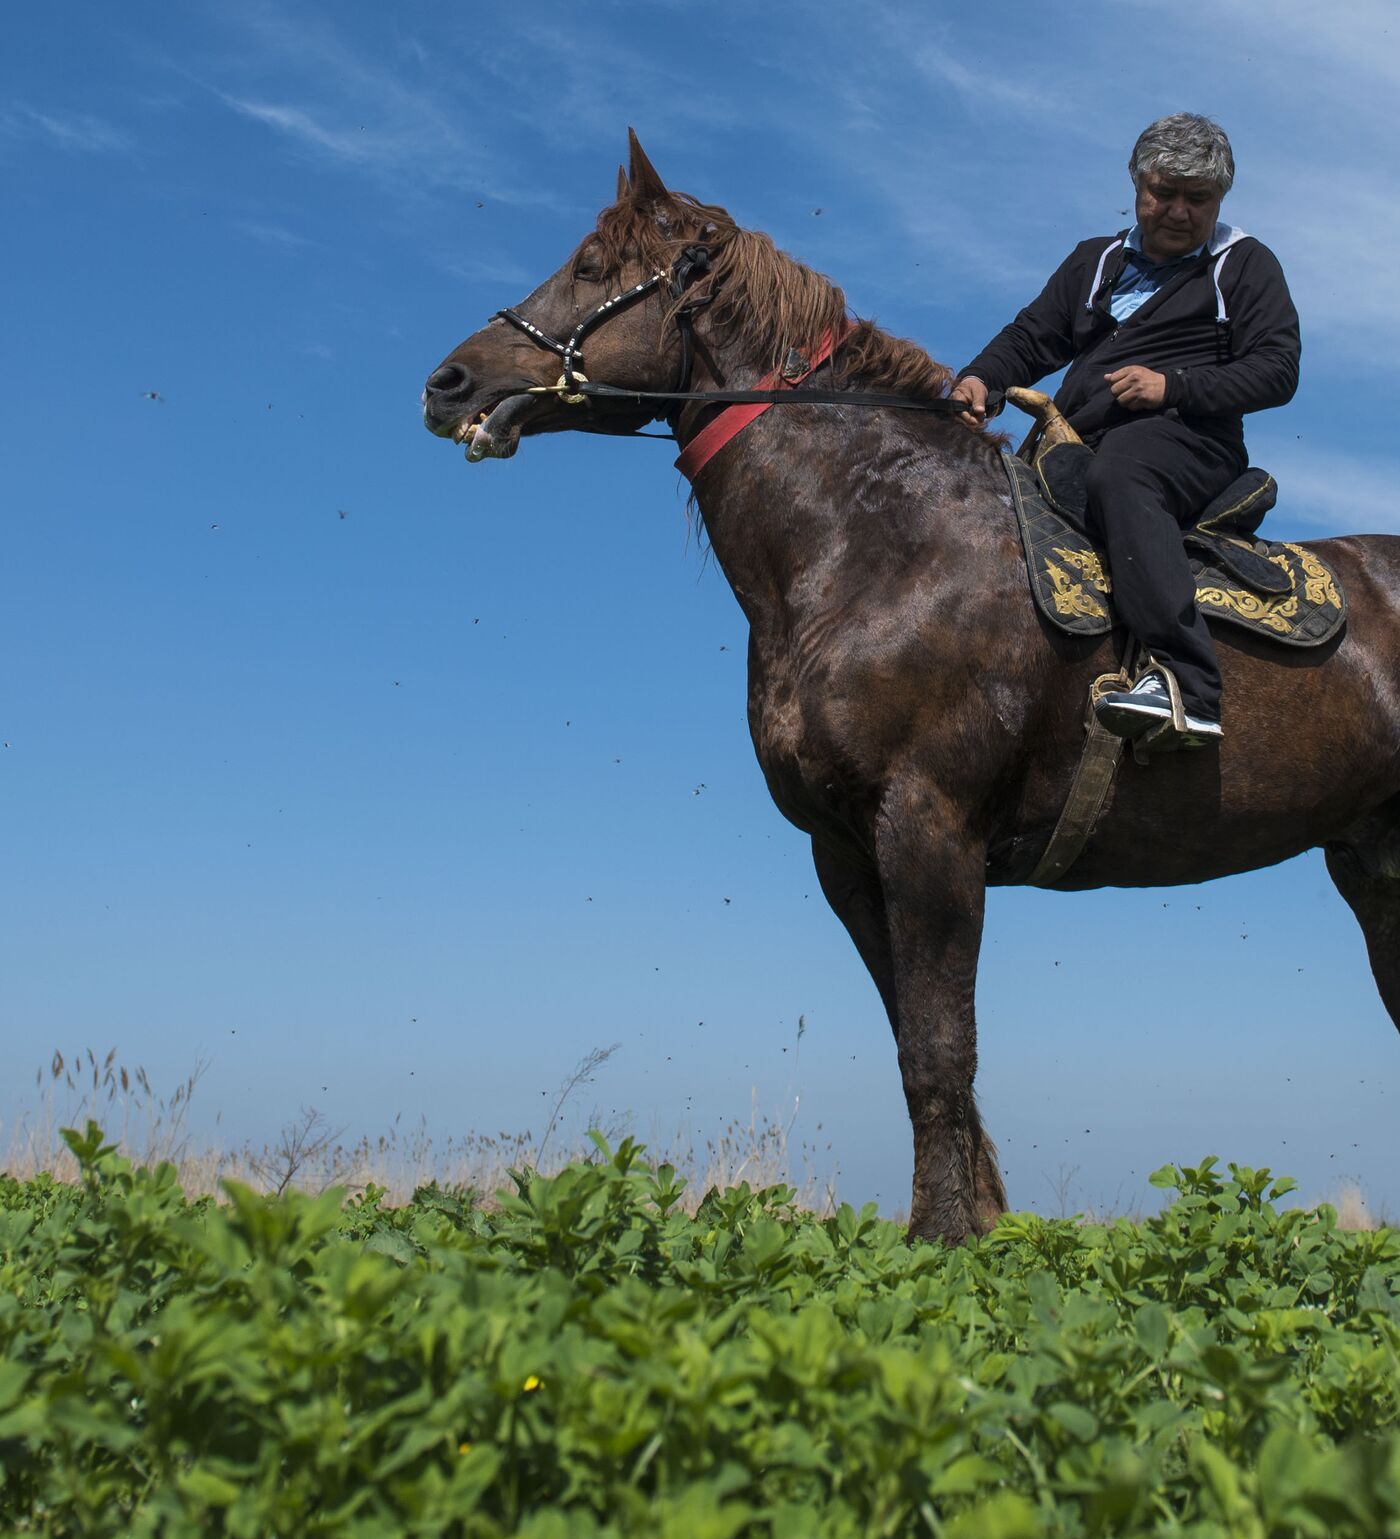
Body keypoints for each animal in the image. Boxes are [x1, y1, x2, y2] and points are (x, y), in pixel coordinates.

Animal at [424, 129, 1400, 1237]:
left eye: (593, 268)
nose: (448, 383)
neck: (876, 540)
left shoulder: (928, 830)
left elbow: (939, 1049)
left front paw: (940, 1236)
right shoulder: (847, 856)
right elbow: (914, 1049)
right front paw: (972, 1218)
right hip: (1376, 871)